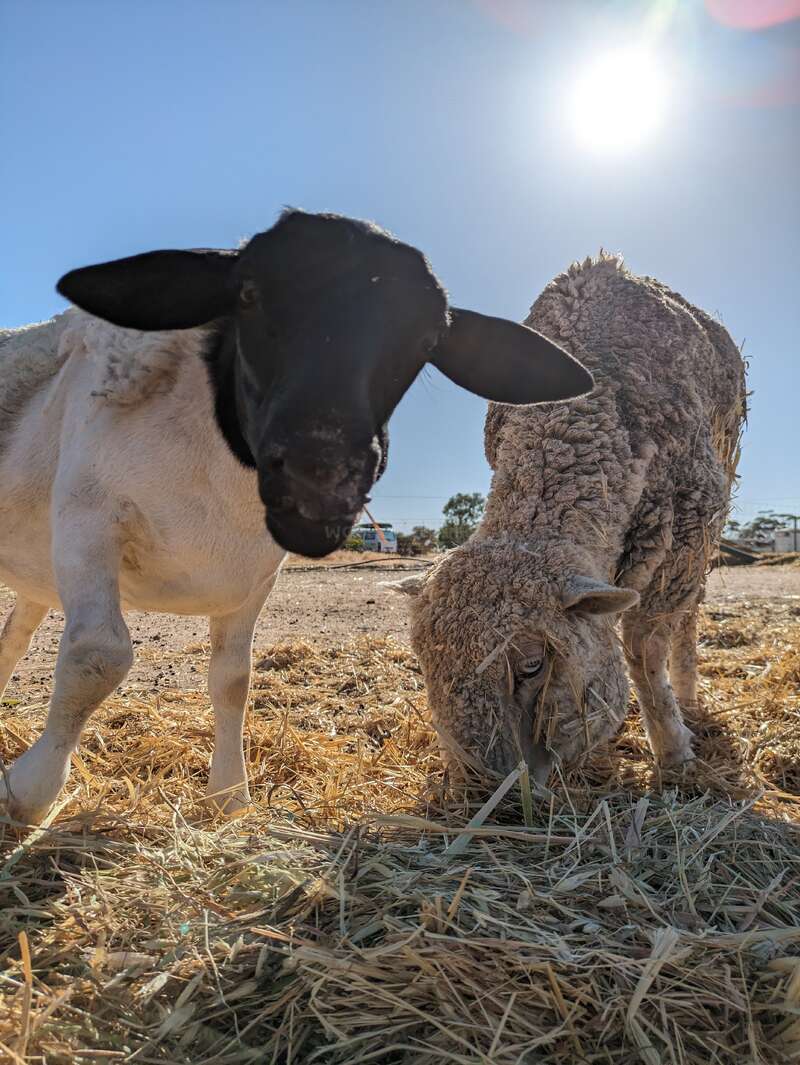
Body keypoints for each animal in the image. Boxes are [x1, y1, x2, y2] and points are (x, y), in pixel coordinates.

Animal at [0, 210, 593, 825]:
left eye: (429, 339)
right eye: (247, 294)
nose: (321, 476)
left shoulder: (256, 575)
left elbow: (233, 678)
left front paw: (229, 795)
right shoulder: (87, 518)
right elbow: (98, 655)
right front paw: (29, 789)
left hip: (39, 580)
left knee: (13, 638)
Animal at [392, 254, 746, 782]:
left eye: (532, 666)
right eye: (423, 663)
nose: (480, 790)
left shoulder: (690, 520)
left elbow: (643, 644)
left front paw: (674, 751)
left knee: (689, 613)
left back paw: (686, 697)